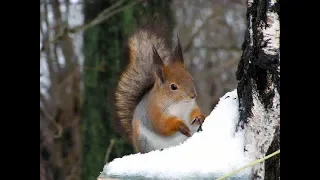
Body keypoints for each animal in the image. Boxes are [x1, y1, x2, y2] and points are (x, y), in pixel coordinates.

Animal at [114, 17, 206, 153]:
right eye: (173, 87)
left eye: (191, 79)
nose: (193, 96)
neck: (179, 104)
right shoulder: (154, 112)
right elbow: (162, 125)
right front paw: (181, 126)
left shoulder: (190, 108)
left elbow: (194, 112)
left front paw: (200, 117)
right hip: (145, 142)